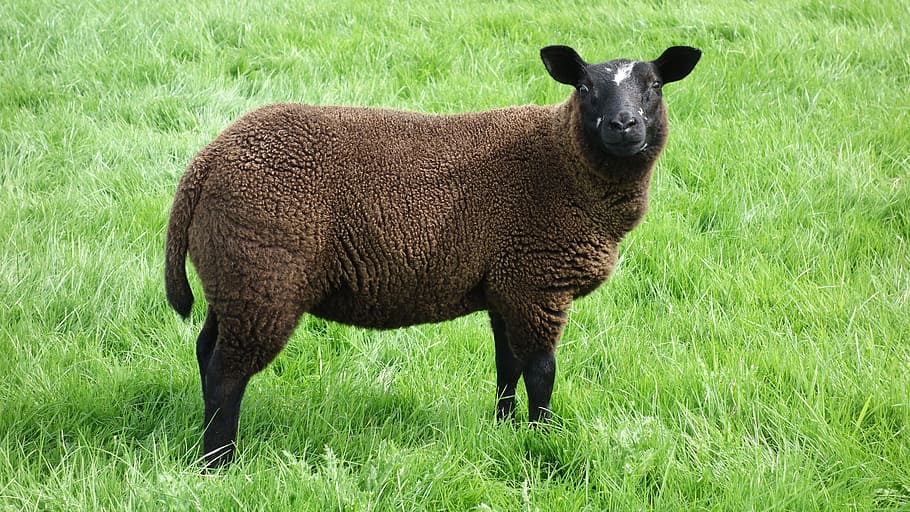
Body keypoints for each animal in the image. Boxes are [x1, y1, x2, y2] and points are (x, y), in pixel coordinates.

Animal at [165, 44, 701, 466]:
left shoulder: (506, 285)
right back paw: (219, 462)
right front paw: (542, 437)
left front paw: (504, 428)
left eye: (654, 85)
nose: (623, 124)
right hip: (264, 279)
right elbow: (541, 372)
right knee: (227, 372)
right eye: (586, 88)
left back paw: (206, 440)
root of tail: (206, 162)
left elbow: (507, 365)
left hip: (233, 278)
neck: (563, 163)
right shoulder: (535, 283)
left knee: (205, 350)